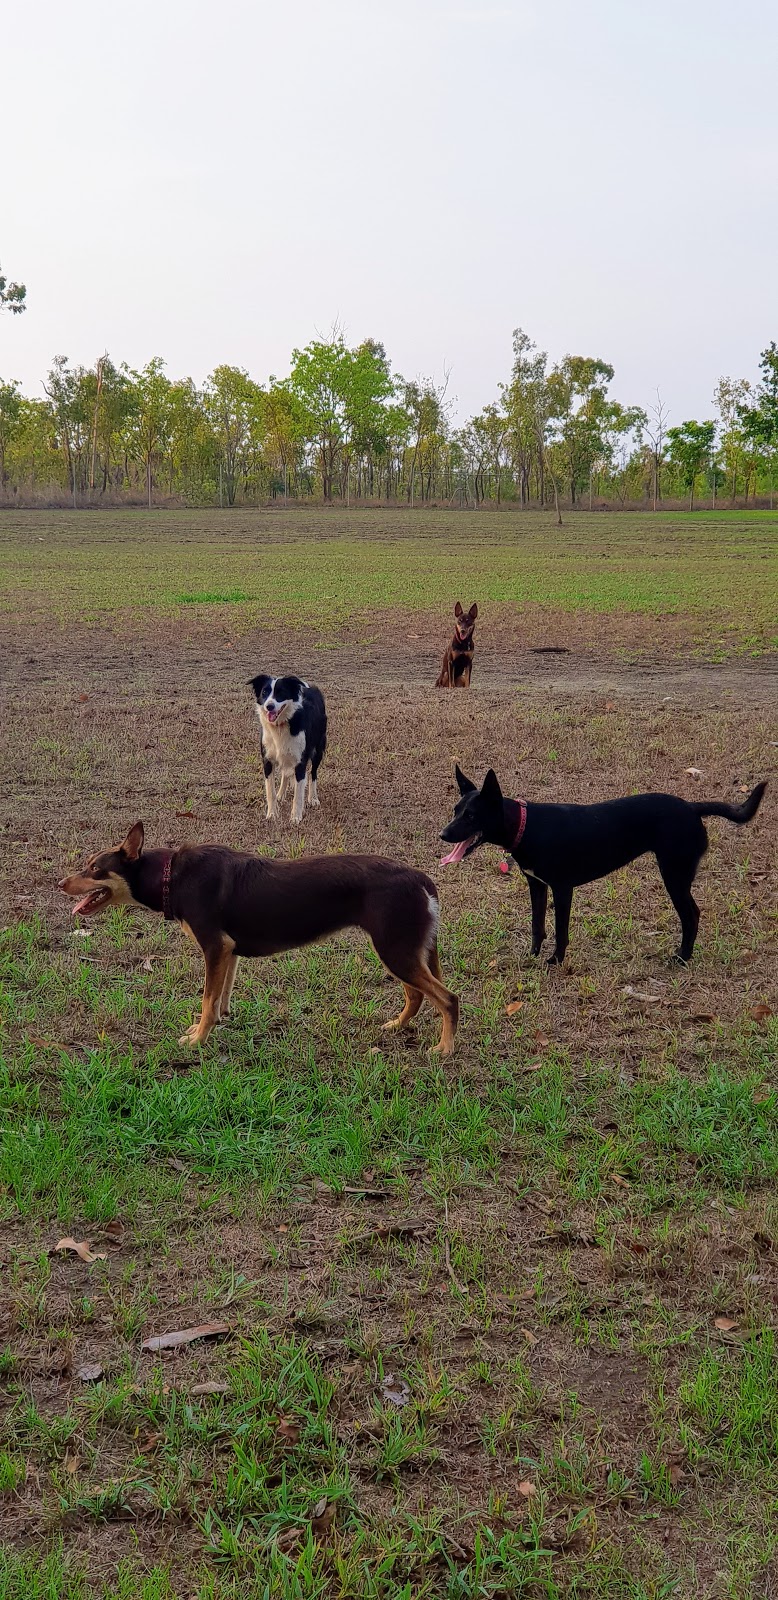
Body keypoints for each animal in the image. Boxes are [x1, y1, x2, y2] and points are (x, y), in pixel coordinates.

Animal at [62, 825, 461, 1062]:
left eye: (95, 868)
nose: (60, 884)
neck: (170, 875)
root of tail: (421, 878)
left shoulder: (215, 947)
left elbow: (206, 999)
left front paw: (198, 1040)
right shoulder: (228, 952)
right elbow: (219, 1000)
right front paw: (208, 1027)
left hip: (395, 951)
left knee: (447, 999)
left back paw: (444, 1048)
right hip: (404, 952)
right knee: (417, 995)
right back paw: (397, 1026)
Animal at [246, 675, 324, 825]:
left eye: (281, 692)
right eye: (264, 692)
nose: (269, 706)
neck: (280, 726)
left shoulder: (300, 763)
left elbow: (298, 795)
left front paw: (296, 817)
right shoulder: (268, 761)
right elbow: (270, 791)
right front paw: (272, 814)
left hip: (318, 750)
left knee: (313, 774)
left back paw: (313, 798)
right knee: (285, 773)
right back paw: (281, 793)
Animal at [441, 764, 761, 960]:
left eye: (471, 815)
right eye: (456, 810)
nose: (443, 834)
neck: (527, 825)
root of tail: (693, 808)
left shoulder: (562, 888)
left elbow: (560, 930)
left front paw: (555, 961)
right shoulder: (537, 885)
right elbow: (537, 924)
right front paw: (532, 955)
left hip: (675, 875)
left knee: (692, 915)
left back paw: (682, 958)